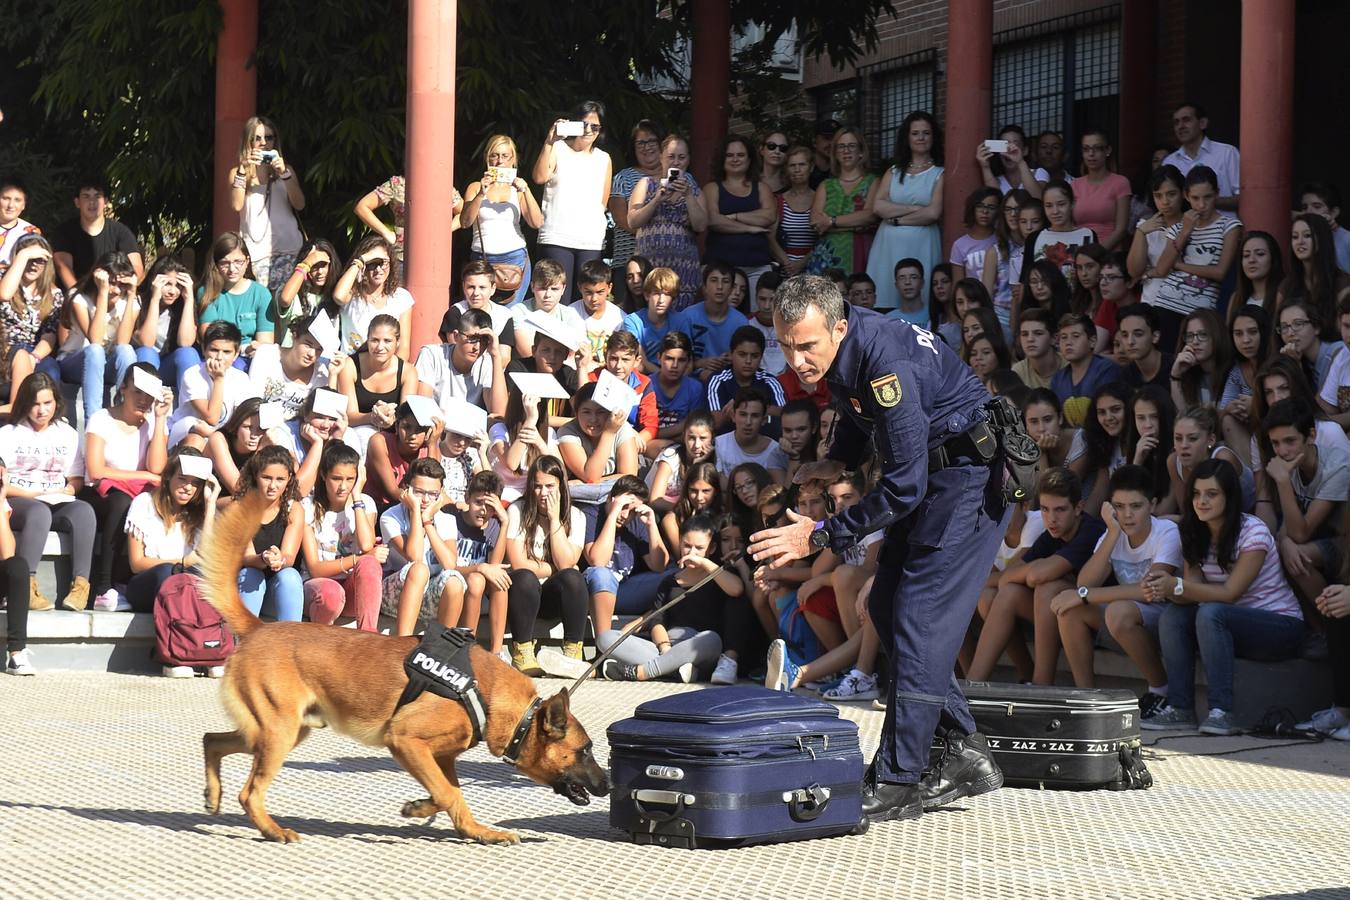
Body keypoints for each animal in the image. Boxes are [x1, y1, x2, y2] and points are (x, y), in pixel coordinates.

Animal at [194, 488, 607, 841]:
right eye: (585, 750)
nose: (608, 785)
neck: (484, 691)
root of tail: (259, 627)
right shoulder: (406, 741)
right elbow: (447, 794)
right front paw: (423, 809)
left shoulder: (440, 757)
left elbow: (453, 795)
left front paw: (473, 829)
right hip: (279, 732)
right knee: (249, 792)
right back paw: (273, 830)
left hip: (282, 730)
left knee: (211, 739)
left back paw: (213, 794)